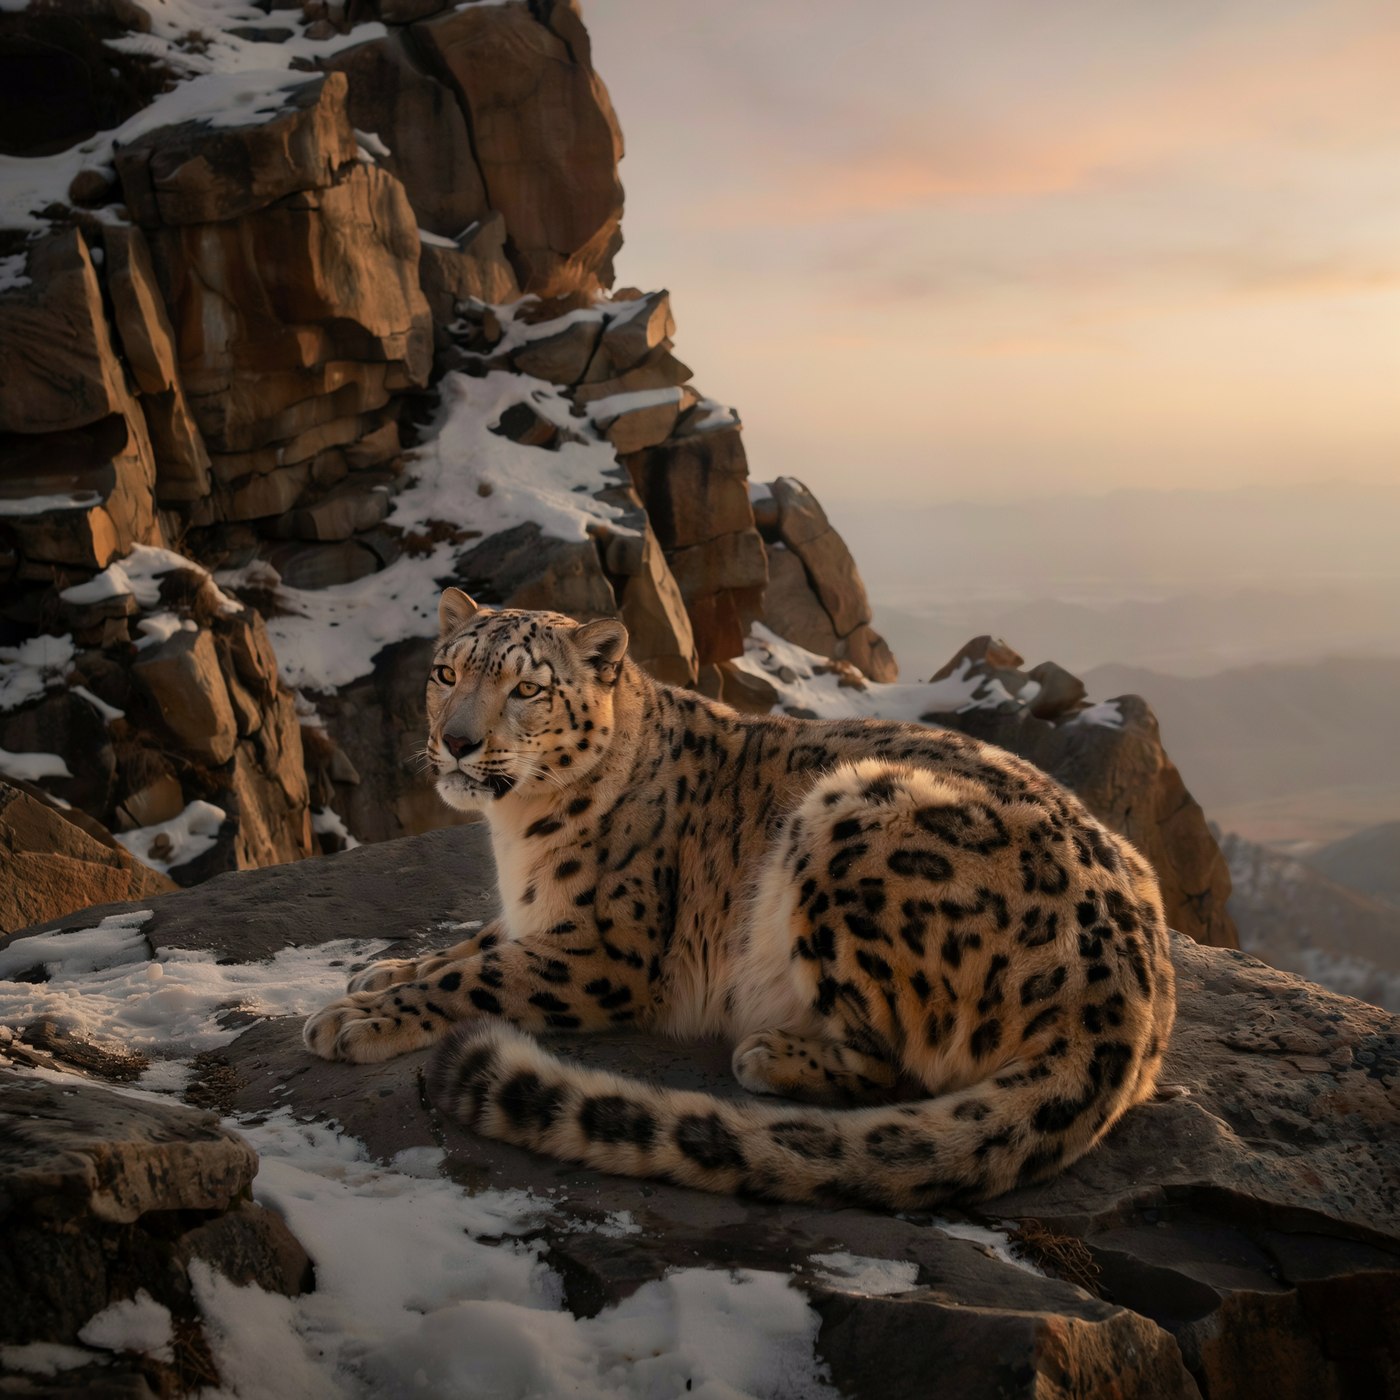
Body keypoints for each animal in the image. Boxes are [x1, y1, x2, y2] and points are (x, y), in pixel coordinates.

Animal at [304, 588, 1176, 1210]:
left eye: (526, 688)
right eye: (447, 674)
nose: (455, 741)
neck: (516, 829)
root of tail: (1124, 1000)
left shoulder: (605, 949)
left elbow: (478, 974)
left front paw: (353, 1018)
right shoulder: (538, 917)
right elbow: (470, 944)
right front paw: (380, 974)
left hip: (851, 816)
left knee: (899, 1067)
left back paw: (772, 1054)